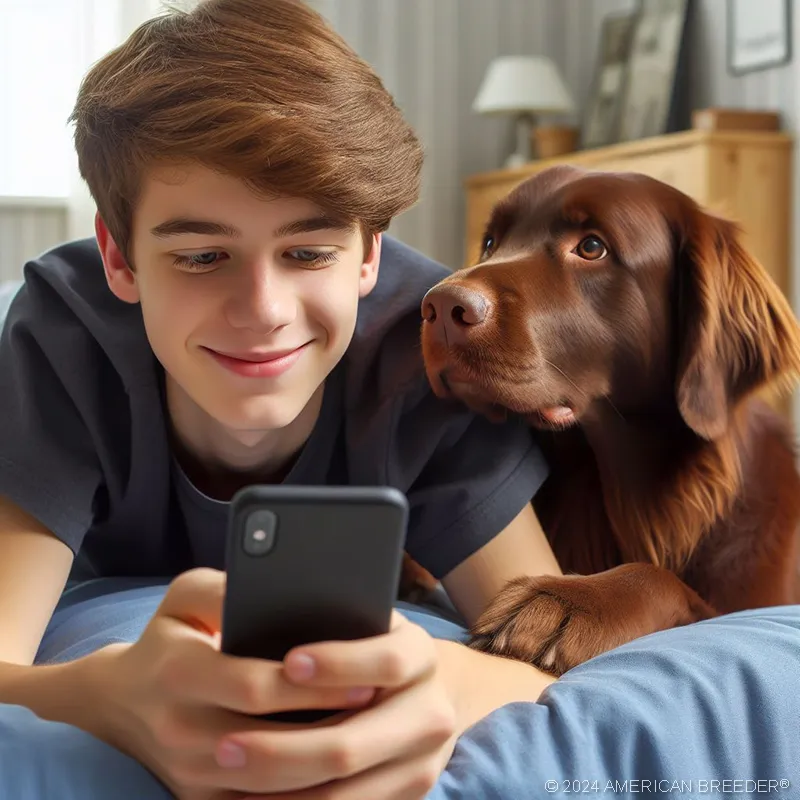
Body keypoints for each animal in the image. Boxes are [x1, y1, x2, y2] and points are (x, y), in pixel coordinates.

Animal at [418, 166, 800, 680]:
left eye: (592, 247)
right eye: (491, 242)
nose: (438, 308)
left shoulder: (753, 608)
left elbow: (664, 581)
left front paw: (564, 600)